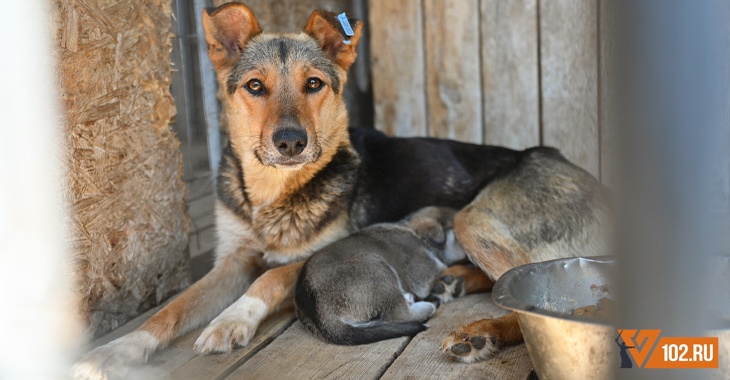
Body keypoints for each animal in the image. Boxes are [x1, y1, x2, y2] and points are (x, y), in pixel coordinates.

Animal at [292, 206, 464, 346]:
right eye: (458, 234)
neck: (414, 232)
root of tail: (320, 314)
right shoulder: (422, 272)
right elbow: (440, 266)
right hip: (375, 266)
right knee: (401, 314)